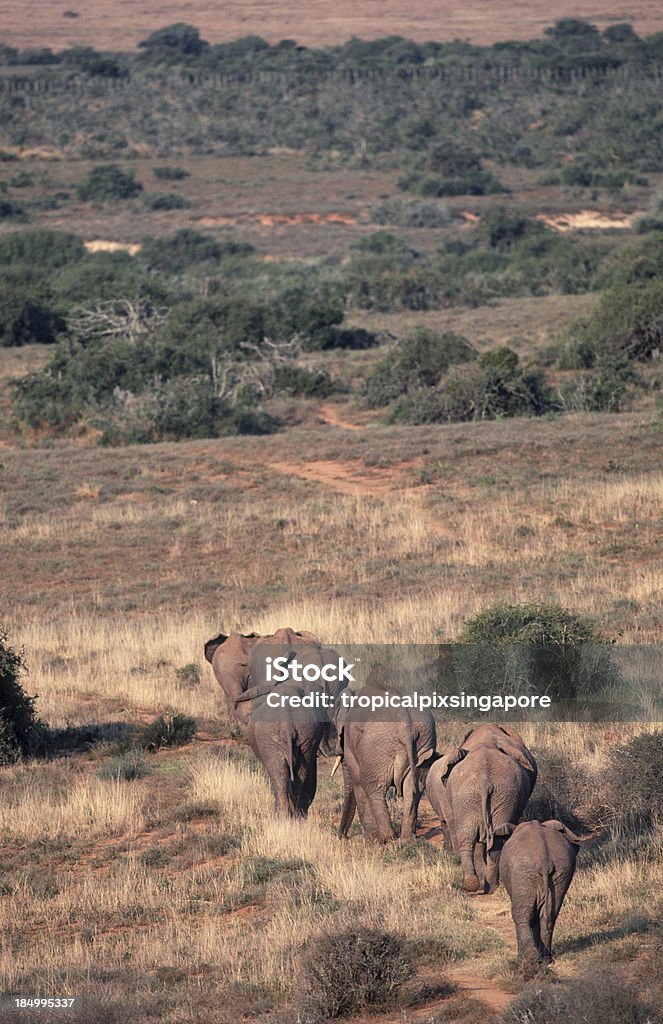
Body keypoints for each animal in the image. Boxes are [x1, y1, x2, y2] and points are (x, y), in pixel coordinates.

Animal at [338, 684, 436, 843]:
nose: (343, 837)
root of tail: (405, 724)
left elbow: (357, 780)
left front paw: (369, 839)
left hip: (376, 748)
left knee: (372, 787)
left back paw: (384, 839)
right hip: (424, 744)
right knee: (412, 790)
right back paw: (407, 839)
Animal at [426, 724, 541, 892]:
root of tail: (484, 783)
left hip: (487, 796)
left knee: (473, 838)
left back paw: (478, 883)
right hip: (487, 796)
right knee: (488, 838)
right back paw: (485, 883)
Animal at [500, 819, 590, 962]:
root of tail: (544, 860)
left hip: (523, 872)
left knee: (521, 913)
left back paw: (529, 959)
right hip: (561, 871)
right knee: (549, 915)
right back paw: (546, 958)